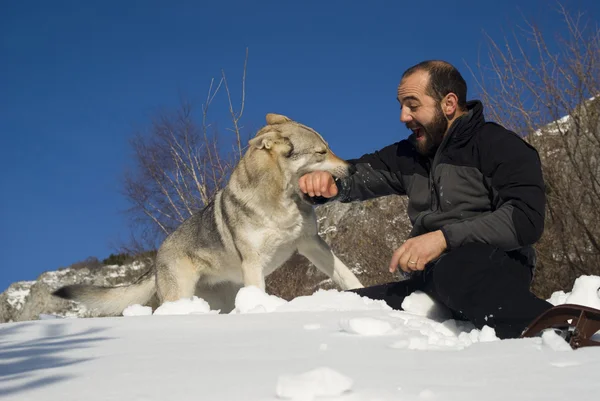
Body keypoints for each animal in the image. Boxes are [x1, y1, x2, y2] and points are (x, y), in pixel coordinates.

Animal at [52, 111, 360, 312]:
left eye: (328, 148)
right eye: (321, 152)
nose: (352, 168)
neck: (281, 201)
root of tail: (156, 257)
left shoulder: (310, 243)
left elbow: (347, 276)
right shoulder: (254, 264)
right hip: (181, 295)